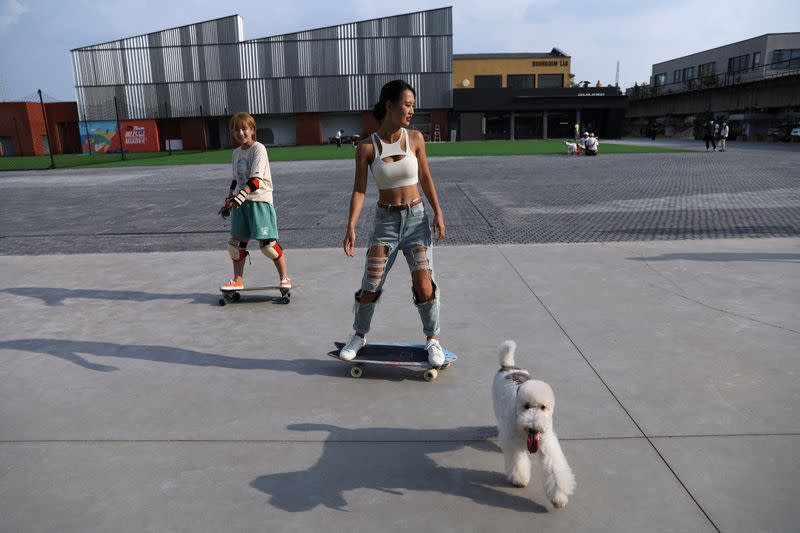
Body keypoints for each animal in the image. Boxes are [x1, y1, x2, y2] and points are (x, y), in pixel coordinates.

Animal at [494, 338, 576, 510]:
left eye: (543, 407)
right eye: (526, 406)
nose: (533, 428)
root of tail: (508, 366)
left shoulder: (547, 445)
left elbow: (554, 470)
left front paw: (558, 497)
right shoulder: (514, 444)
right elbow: (518, 463)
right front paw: (519, 479)